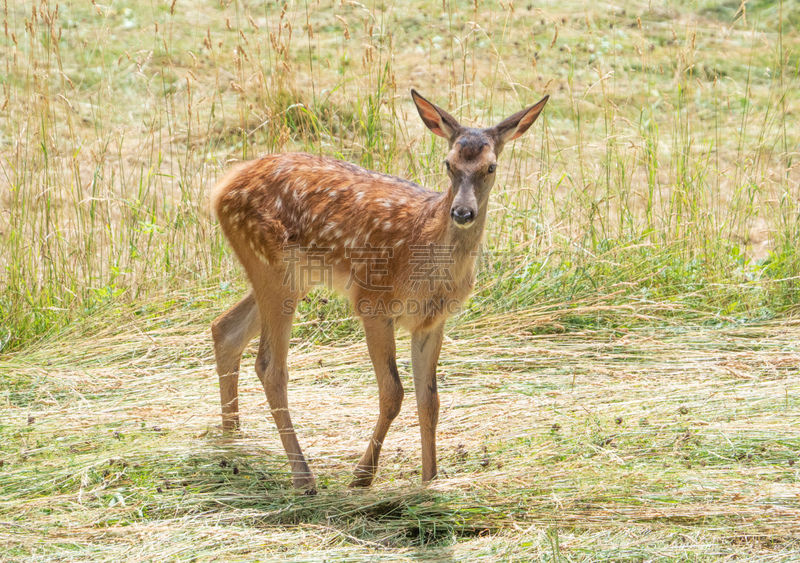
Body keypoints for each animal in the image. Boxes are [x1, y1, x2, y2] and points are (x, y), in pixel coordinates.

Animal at [211, 89, 552, 494]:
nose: (462, 212)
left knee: (225, 329)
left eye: (491, 167)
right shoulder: (372, 302)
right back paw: (302, 476)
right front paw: (362, 476)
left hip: (291, 276)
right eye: (448, 163)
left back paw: (233, 442)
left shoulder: (432, 321)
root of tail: (221, 188)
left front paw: (430, 479)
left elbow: (430, 400)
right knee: (269, 366)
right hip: (272, 263)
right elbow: (393, 394)